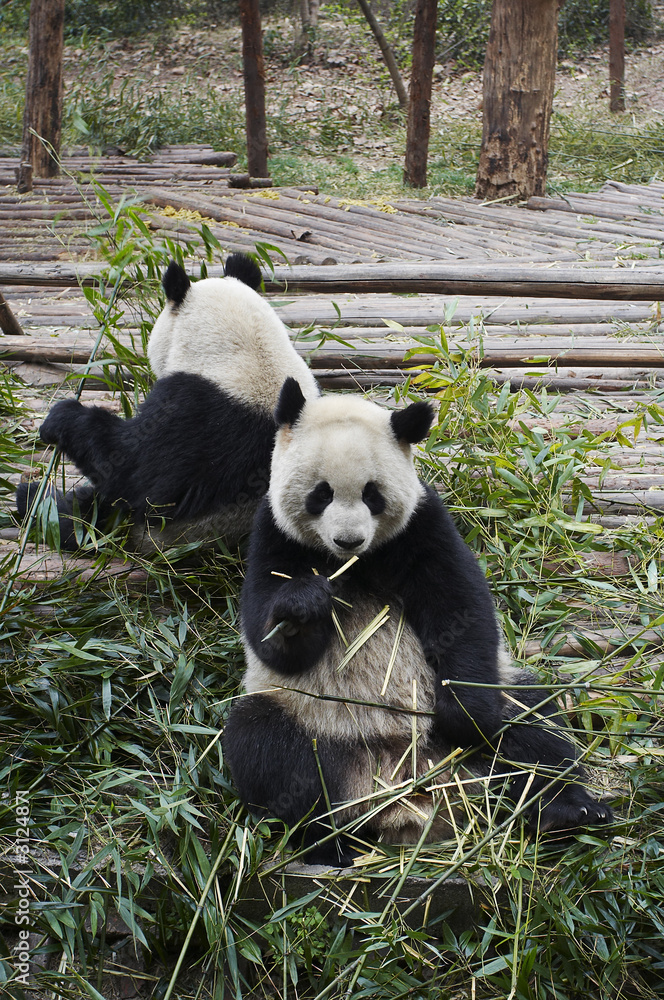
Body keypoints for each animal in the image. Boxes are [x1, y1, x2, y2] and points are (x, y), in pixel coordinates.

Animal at [224, 378, 612, 866]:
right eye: (321, 494)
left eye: (372, 494)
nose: (348, 540)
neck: (354, 564)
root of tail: (405, 789)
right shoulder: (273, 532)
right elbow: (267, 632)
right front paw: (303, 606)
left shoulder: (422, 524)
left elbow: (461, 608)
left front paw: (464, 716)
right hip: (308, 719)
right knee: (266, 751)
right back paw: (327, 843)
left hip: (495, 703)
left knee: (533, 726)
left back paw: (567, 811)